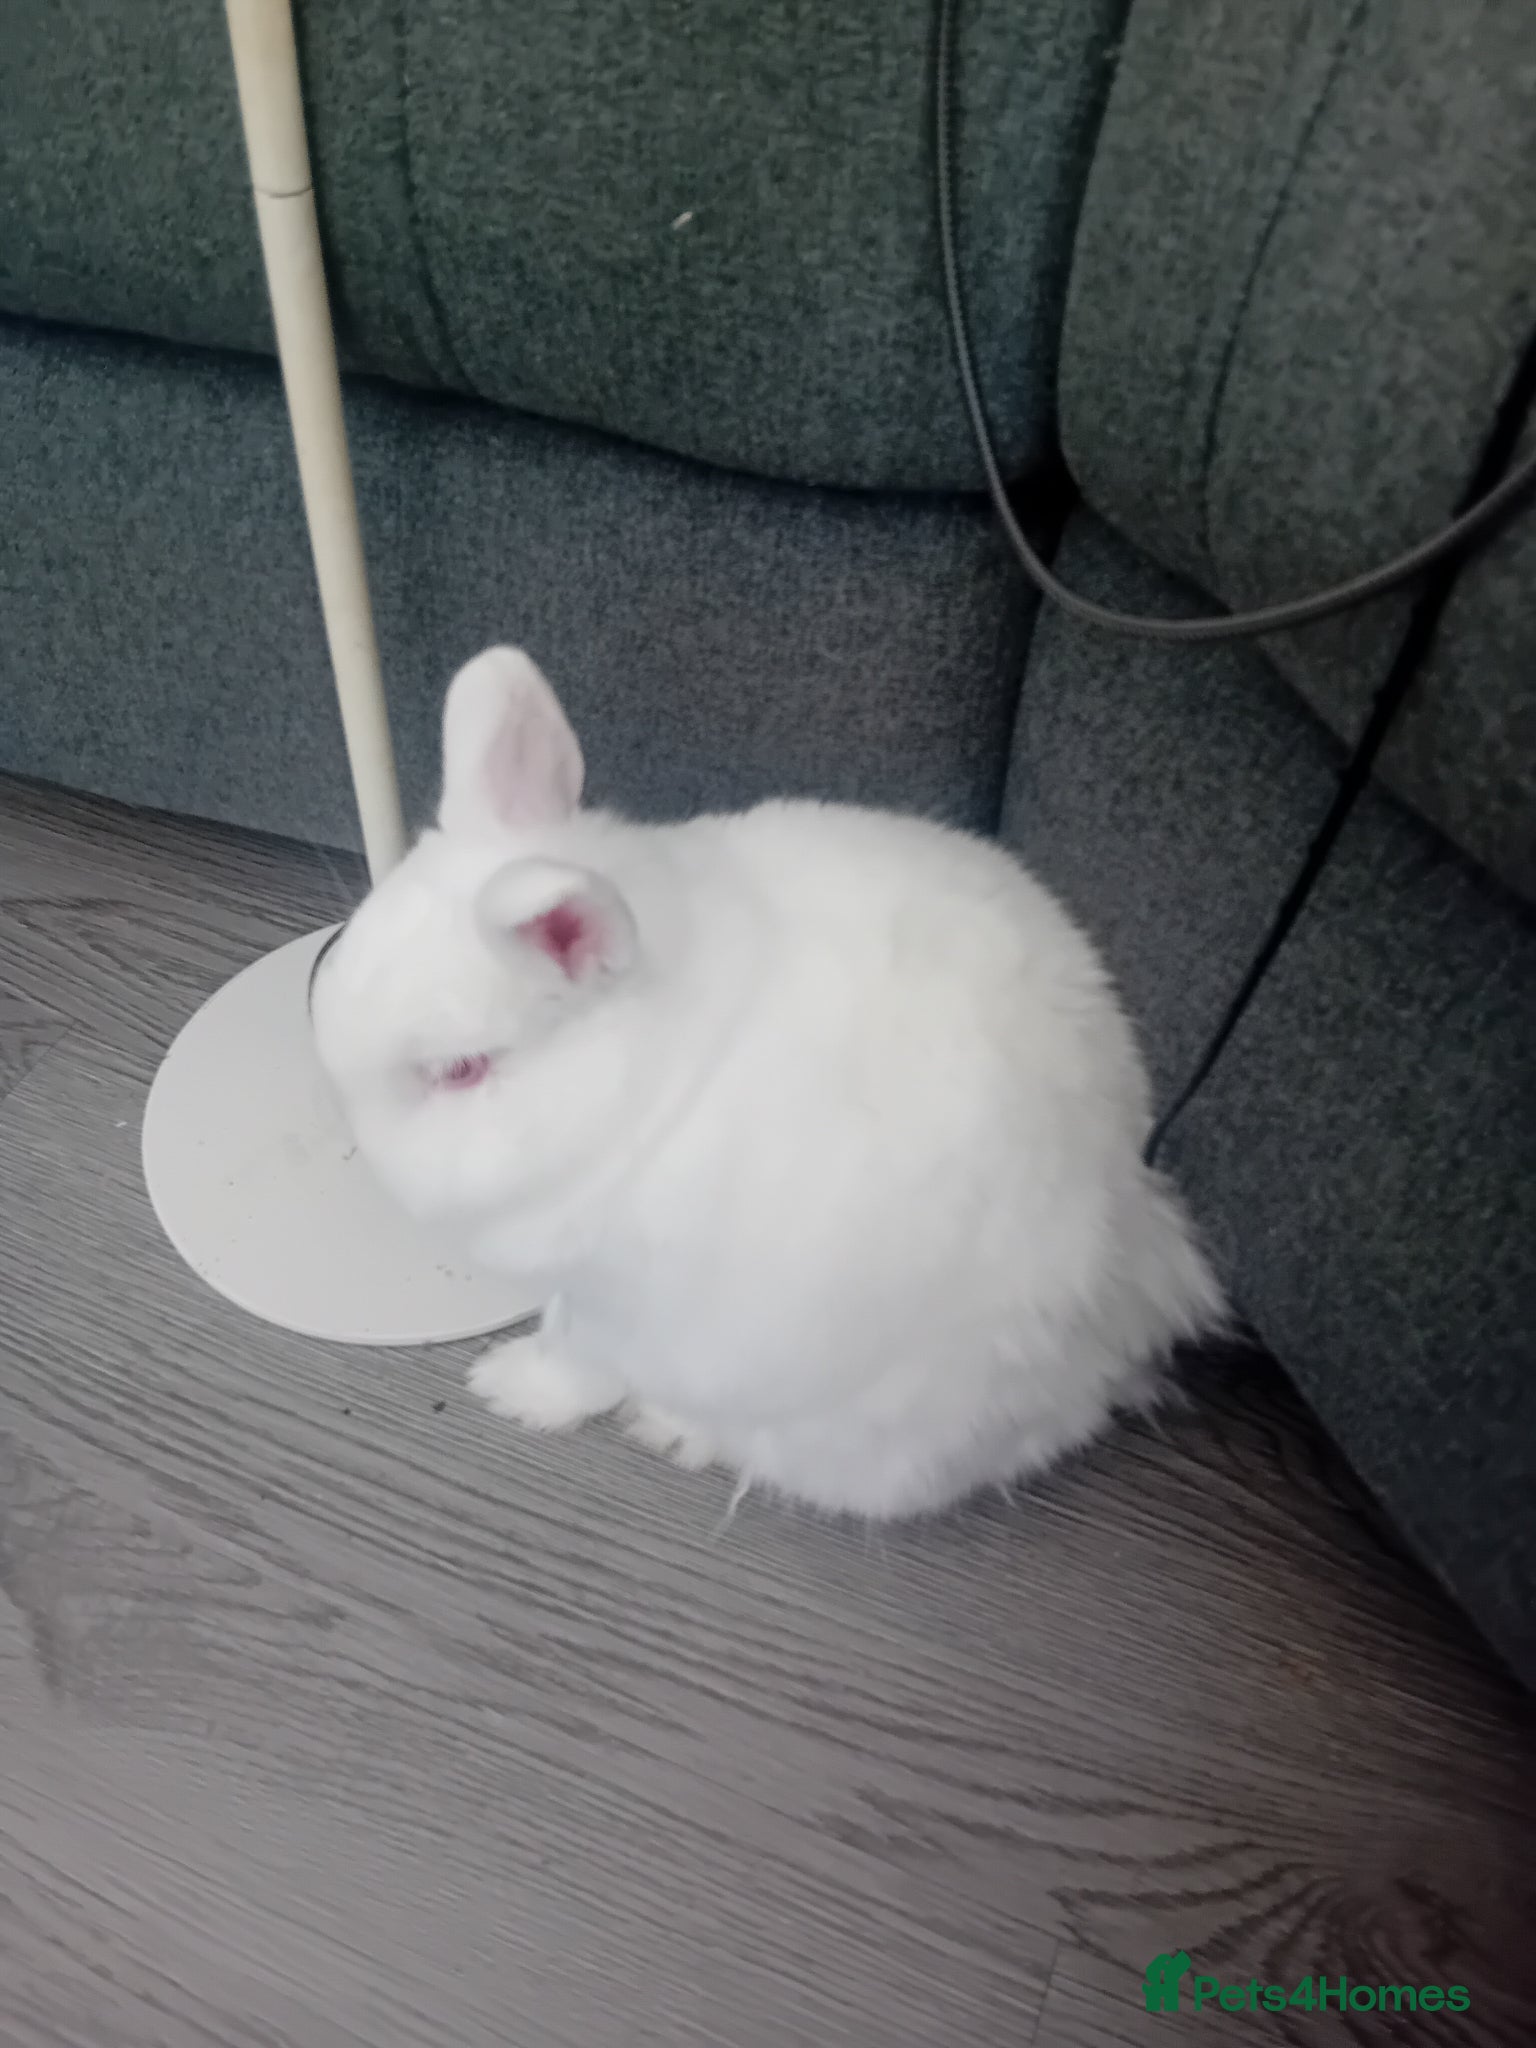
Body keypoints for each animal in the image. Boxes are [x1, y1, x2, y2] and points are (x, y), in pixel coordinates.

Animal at [310, 647, 1223, 1519]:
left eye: (461, 1070)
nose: (349, 1129)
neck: (650, 1091)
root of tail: (1111, 1352)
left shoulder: (620, 1305)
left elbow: (577, 1357)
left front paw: (510, 1389)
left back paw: (671, 1429)